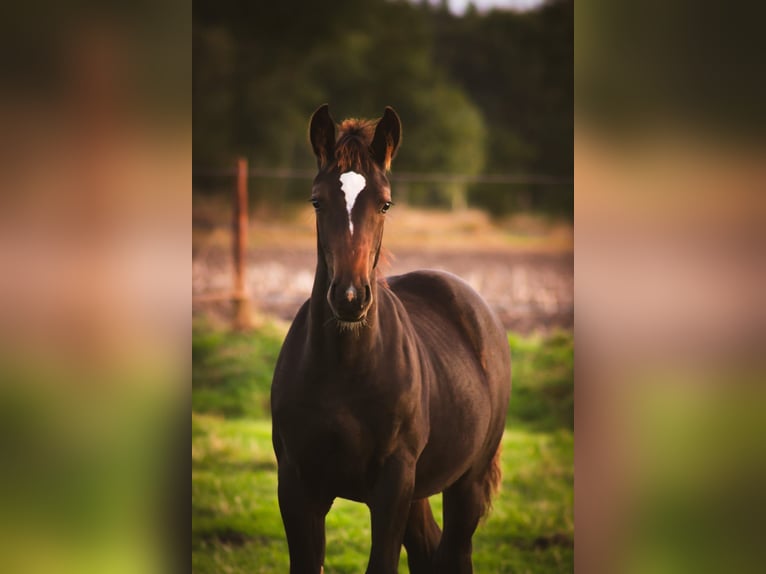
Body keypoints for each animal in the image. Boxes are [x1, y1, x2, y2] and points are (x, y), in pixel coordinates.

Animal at [271, 104, 511, 574]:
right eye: (316, 201)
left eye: (385, 203)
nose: (349, 297)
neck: (344, 371)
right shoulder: (296, 486)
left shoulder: (393, 484)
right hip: (421, 491)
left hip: (466, 485)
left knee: (456, 551)